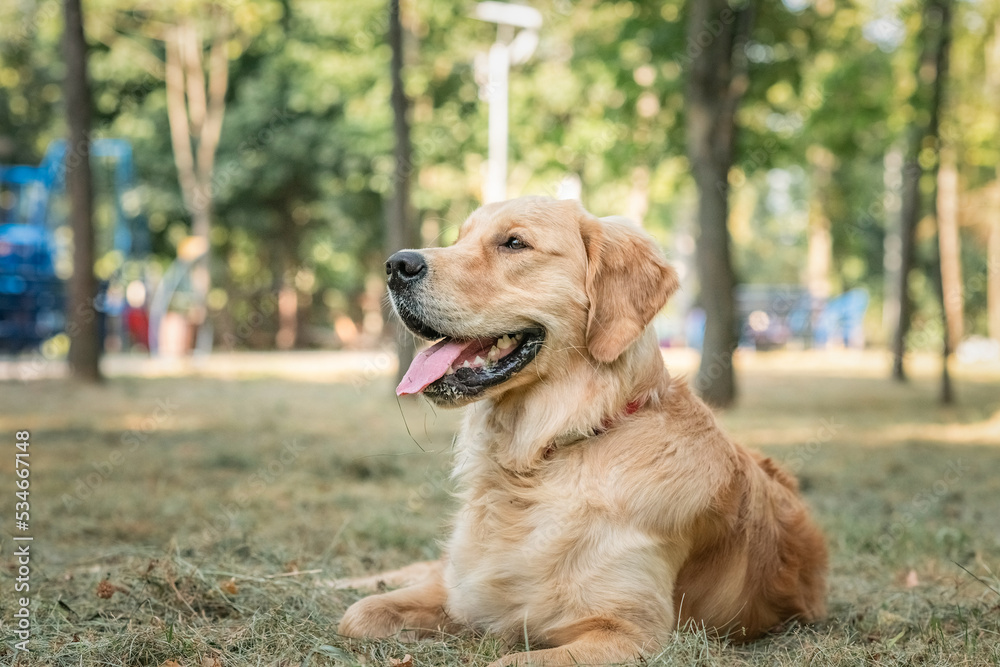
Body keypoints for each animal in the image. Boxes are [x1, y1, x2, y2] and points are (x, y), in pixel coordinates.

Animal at [338, 196, 828, 664]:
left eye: (514, 243)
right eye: (459, 239)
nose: (395, 265)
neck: (545, 452)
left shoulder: (631, 633)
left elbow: (509, 661)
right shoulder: (462, 590)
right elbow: (357, 616)